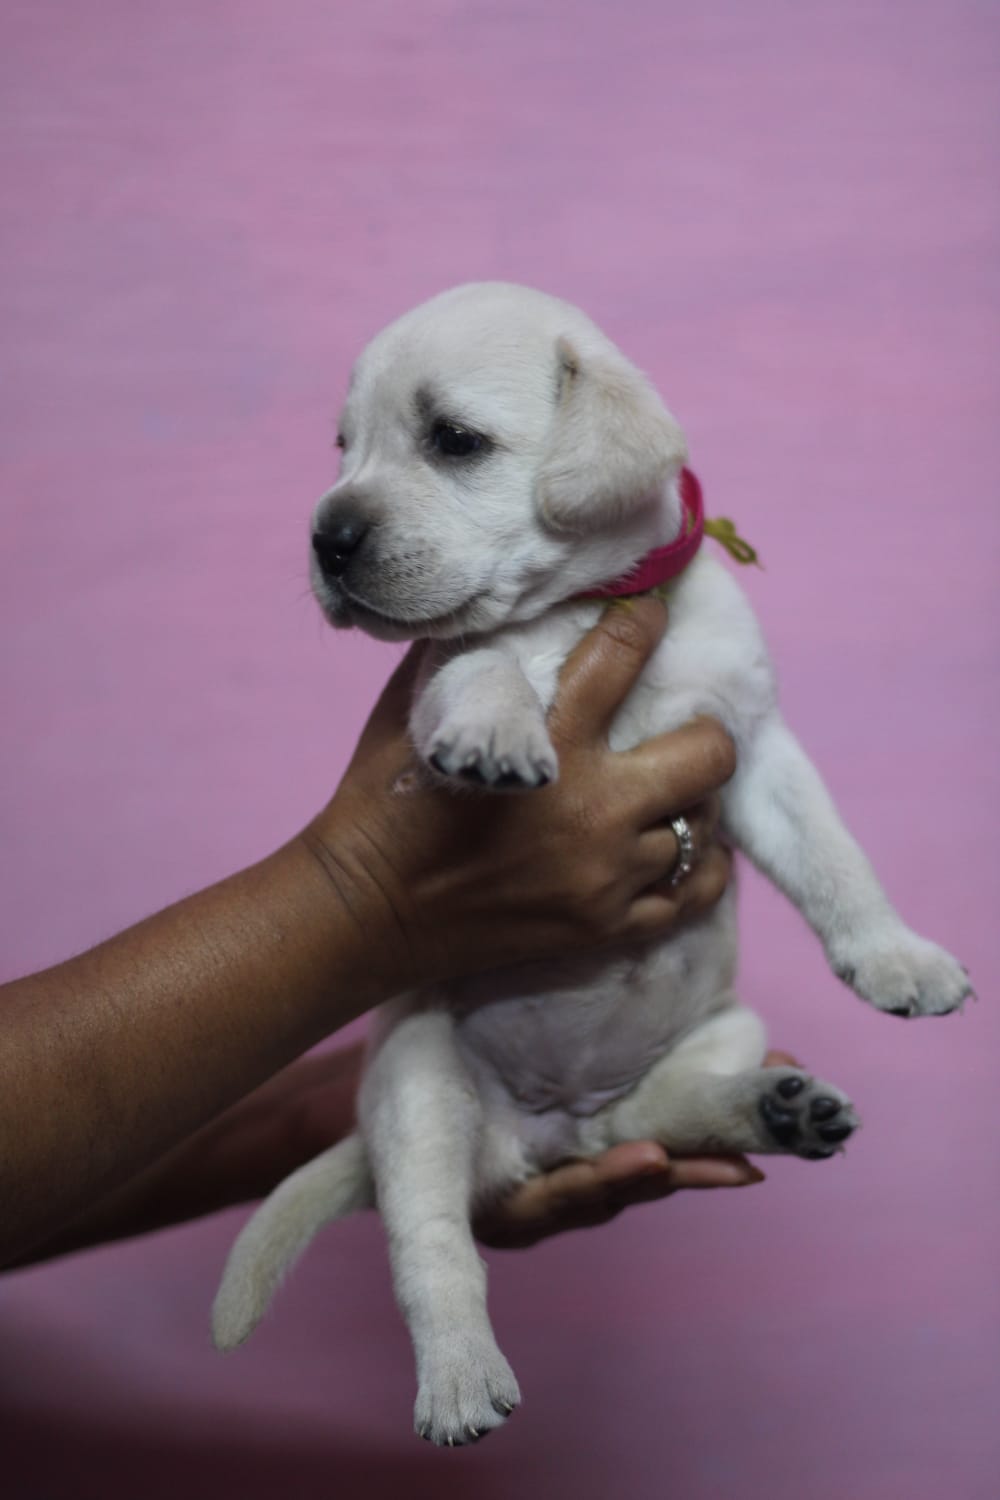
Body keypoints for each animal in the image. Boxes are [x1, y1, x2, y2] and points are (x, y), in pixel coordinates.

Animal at [212, 279, 971, 1440]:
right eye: (343, 447)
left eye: (454, 440)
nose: (325, 535)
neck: (586, 609)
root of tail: (550, 1132)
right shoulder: (437, 679)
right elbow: (482, 663)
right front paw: (499, 732)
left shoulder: (753, 744)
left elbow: (833, 854)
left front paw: (898, 957)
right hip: (416, 1082)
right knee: (432, 1246)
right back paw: (458, 1376)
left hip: (716, 1028)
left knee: (656, 1115)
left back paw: (771, 1108)